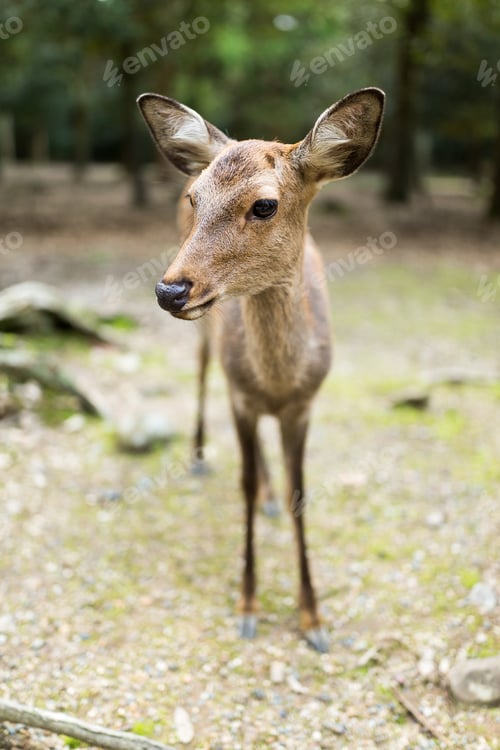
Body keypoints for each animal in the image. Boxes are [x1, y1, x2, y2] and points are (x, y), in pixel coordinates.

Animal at [137, 87, 384, 652]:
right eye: (195, 200)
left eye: (265, 204)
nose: (170, 290)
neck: (278, 382)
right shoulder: (241, 397)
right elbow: (244, 487)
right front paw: (247, 605)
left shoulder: (304, 405)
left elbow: (300, 494)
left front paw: (312, 618)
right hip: (210, 347)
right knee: (202, 373)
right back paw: (199, 456)